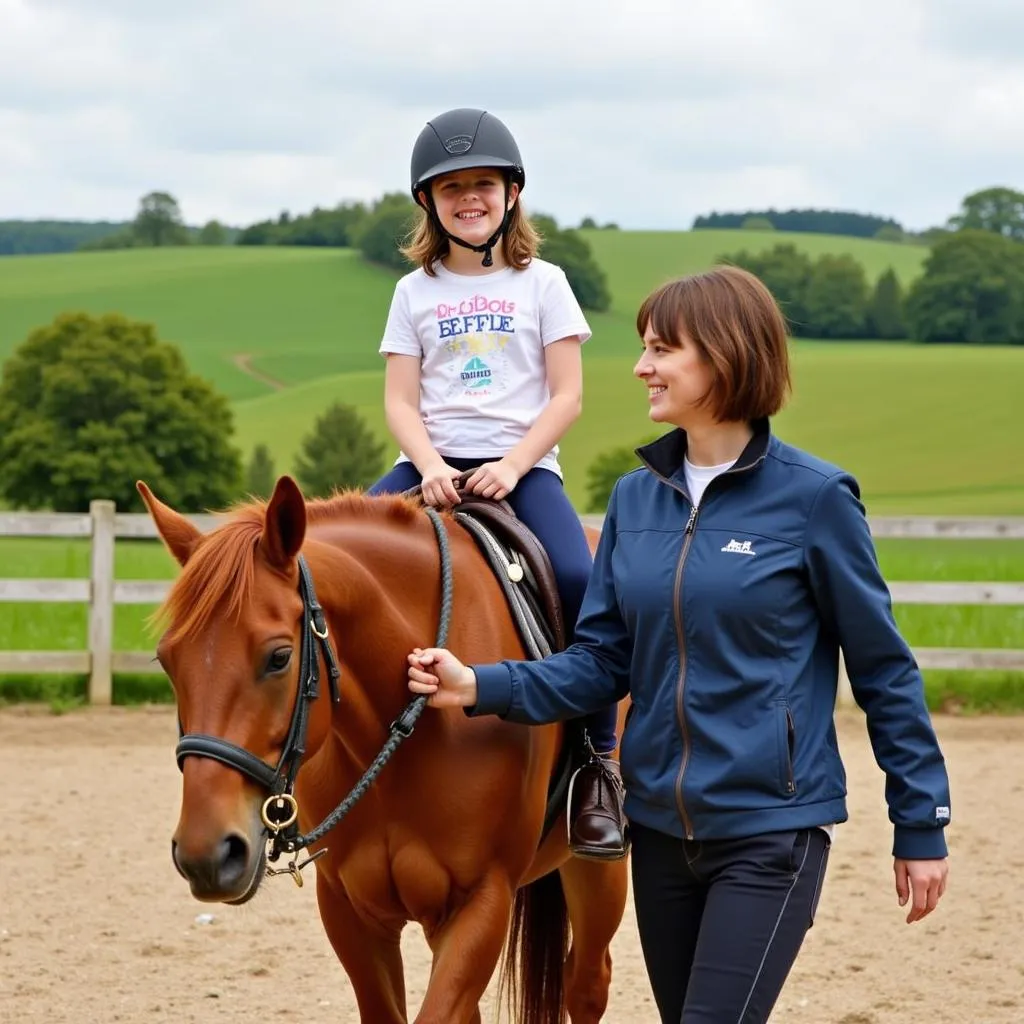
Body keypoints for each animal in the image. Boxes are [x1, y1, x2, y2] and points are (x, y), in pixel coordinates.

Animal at [139, 475, 626, 1019]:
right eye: (166, 660)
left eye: (279, 657)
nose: (207, 854)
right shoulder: (350, 911)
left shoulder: (482, 902)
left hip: (597, 873)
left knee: (586, 982)